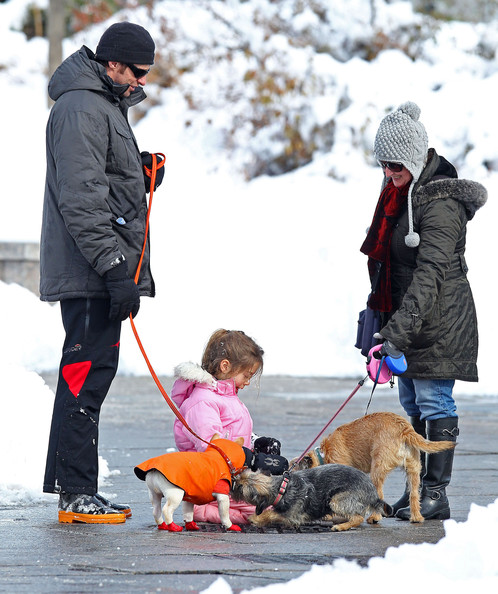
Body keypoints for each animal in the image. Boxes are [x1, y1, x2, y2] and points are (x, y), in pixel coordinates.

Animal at [231, 460, 392, 528]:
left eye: (240, 488)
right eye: (241, 476)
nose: (233, 480)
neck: (282, 488)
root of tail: (373, 493)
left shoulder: (292, 516)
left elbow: (271, 513)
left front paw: (255, 518)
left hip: (336, 500)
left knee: (358, 517)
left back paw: (341, 526)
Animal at [294, 410, 458, 520]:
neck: (323, 455)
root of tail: (404, 429)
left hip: (377, 470)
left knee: (378, 496)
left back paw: (374, 517)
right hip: (414, 470)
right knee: (414, 494)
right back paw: (416, 517)